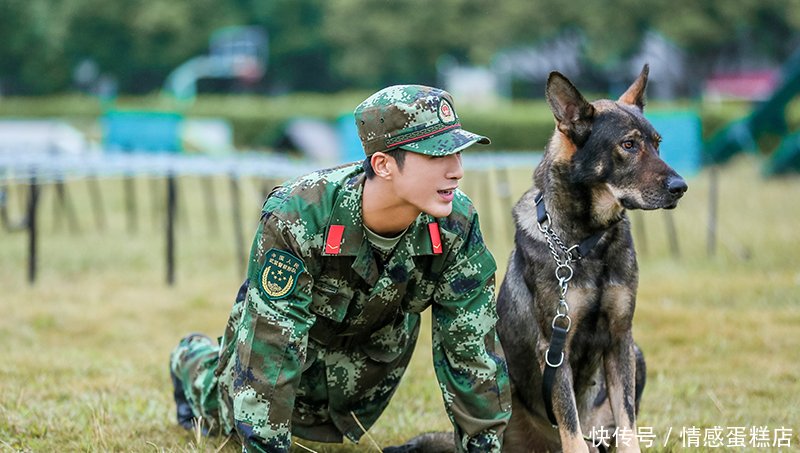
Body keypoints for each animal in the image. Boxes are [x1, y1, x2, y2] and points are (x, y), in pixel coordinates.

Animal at [496, 64, 684, 452]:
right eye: (628, 145)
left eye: (657, 144)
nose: (681, 188)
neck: (586, 242)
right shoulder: (556, 348)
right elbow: (570, 428)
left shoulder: (620, 338)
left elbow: (628, 427)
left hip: (636, 357)